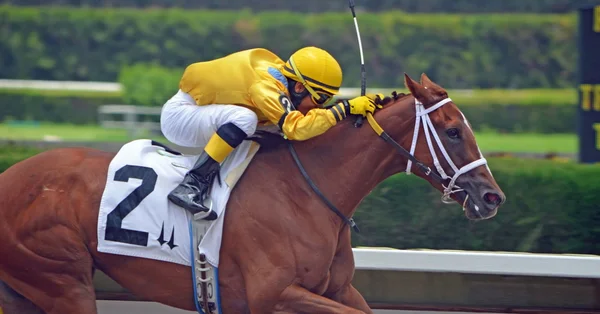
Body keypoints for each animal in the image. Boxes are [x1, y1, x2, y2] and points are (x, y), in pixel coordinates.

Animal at [0, 73, 506, 312]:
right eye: (453, 131)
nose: (492, 197)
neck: (306, 192)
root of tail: (12, 176)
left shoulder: (338, 289)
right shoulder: (276, 296)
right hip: (62, 280)